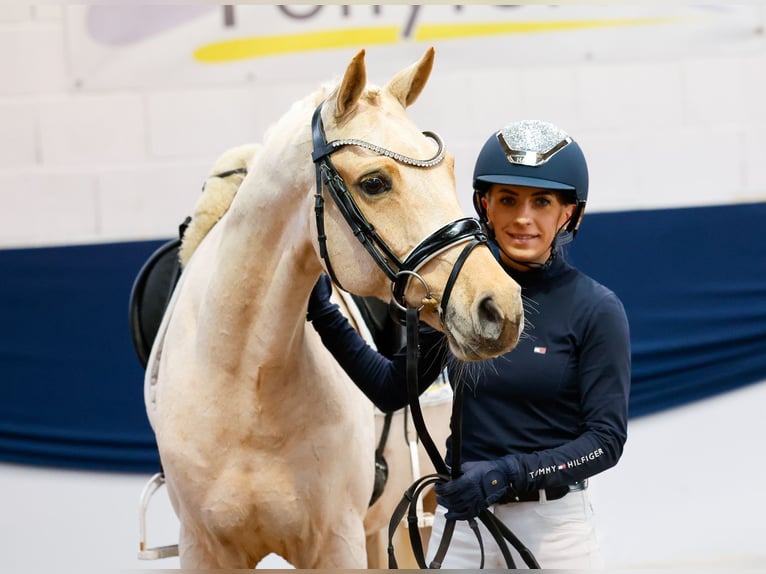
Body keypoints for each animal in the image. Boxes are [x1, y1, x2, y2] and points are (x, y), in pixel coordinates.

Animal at [145, 48, 524, 572]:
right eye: (374, 182)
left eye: (449, 170)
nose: (498, 307)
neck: (243, 379)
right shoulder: (203, 548)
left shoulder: (337, 542)